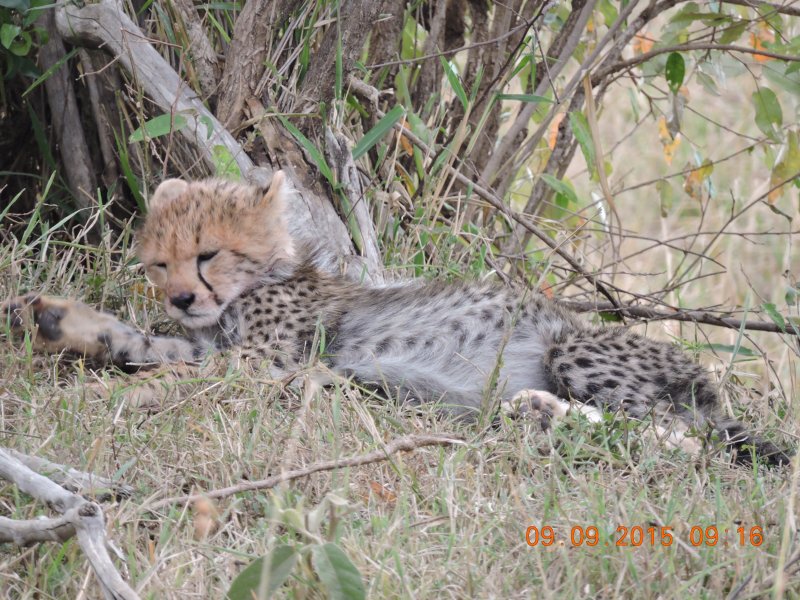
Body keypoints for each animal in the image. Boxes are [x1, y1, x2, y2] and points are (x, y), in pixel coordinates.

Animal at [2, 171, 791, 465]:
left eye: (209, 254)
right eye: (158, 264)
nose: (183, 299)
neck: (267, 277)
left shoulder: (266, 360)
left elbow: (192, 373)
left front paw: (119, 396)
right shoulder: (222, 349)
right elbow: (151, 346)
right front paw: (62, 324)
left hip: (578, 349)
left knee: (682, 440)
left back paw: (543, 412)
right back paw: (533, 413)